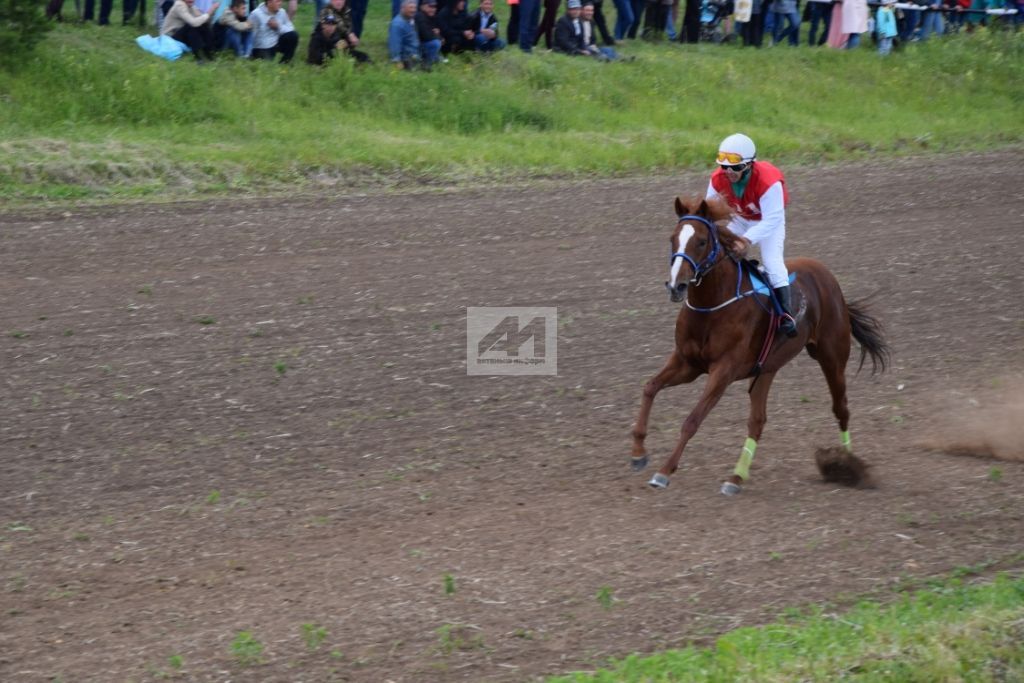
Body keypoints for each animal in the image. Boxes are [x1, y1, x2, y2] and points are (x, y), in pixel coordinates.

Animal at [626, 194, 884, 493]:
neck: (711, 306)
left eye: (701, 241)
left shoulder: (723, 371)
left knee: (841, 408)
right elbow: (650, 388)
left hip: (832, 356)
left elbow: (692, 420)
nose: (676, 287)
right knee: (757, 421)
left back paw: (847, 464)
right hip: (767, 368)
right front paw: (638, 453)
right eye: (672, 239)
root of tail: (827, 277)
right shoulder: (686, 363)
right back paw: (736, 478)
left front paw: (664, 471)